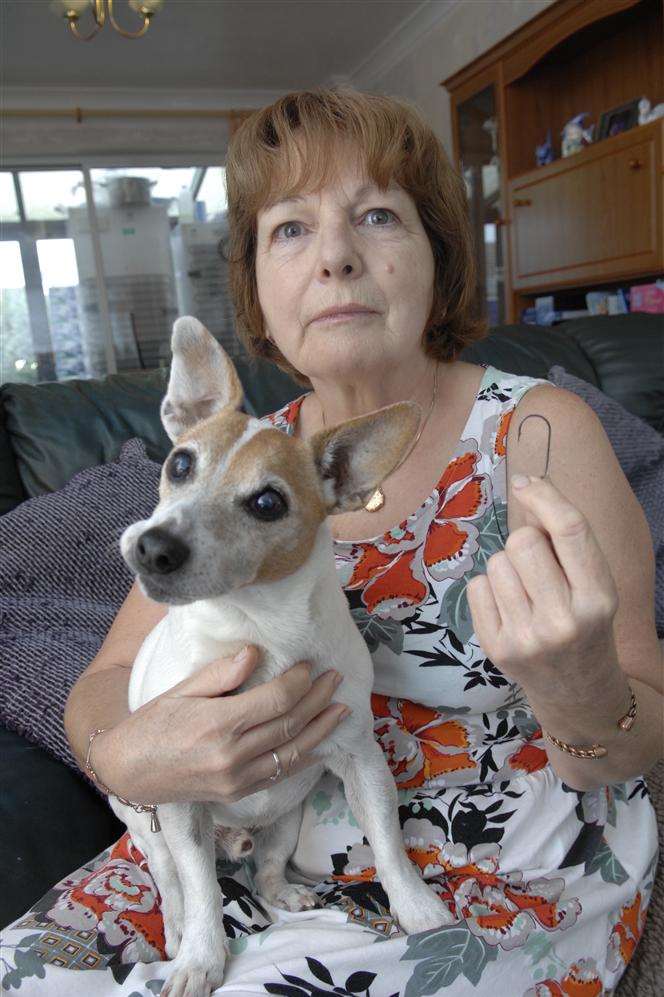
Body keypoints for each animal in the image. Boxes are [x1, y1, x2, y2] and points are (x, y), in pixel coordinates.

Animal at [115, 320, 456, 996]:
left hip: (286, 818)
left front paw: (418, 908)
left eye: (268, 503)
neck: (258, 630)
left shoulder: (361, 763)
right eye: (180, 463)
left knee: (266, 872)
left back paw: (286, 894)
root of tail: (237, 840)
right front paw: (201, 960)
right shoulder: (182, 801)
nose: (154, 546)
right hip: (151, 822)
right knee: (173, 880)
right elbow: (202, 894)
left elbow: (389, 845)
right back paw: (176, 928)